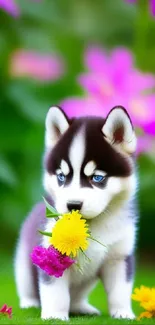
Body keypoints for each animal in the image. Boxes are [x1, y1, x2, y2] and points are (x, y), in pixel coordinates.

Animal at [15, 105, 137, 318]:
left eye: (97, 178)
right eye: (61, 177)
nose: (72, 205)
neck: (91, 226)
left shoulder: (119, 257)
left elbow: (120, 291)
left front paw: (123, 314)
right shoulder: (51, 255)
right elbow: (56, 292)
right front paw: (55, 316)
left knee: (76, 297)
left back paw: (81, 307)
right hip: (23, 265)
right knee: (28, 287)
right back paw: (29, 303)